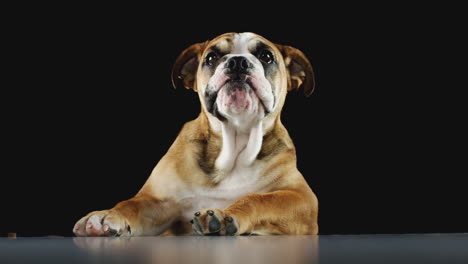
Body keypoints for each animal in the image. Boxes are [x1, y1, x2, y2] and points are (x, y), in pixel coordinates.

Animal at [73, 32, 320, 236]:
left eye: (266, 56)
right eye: (211, 58)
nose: (237, 62)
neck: (236, 142)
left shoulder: (301, 197)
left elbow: (258, 199)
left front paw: (226, 215)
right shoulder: (159, 202)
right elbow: (131, 204)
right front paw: (106, 215)